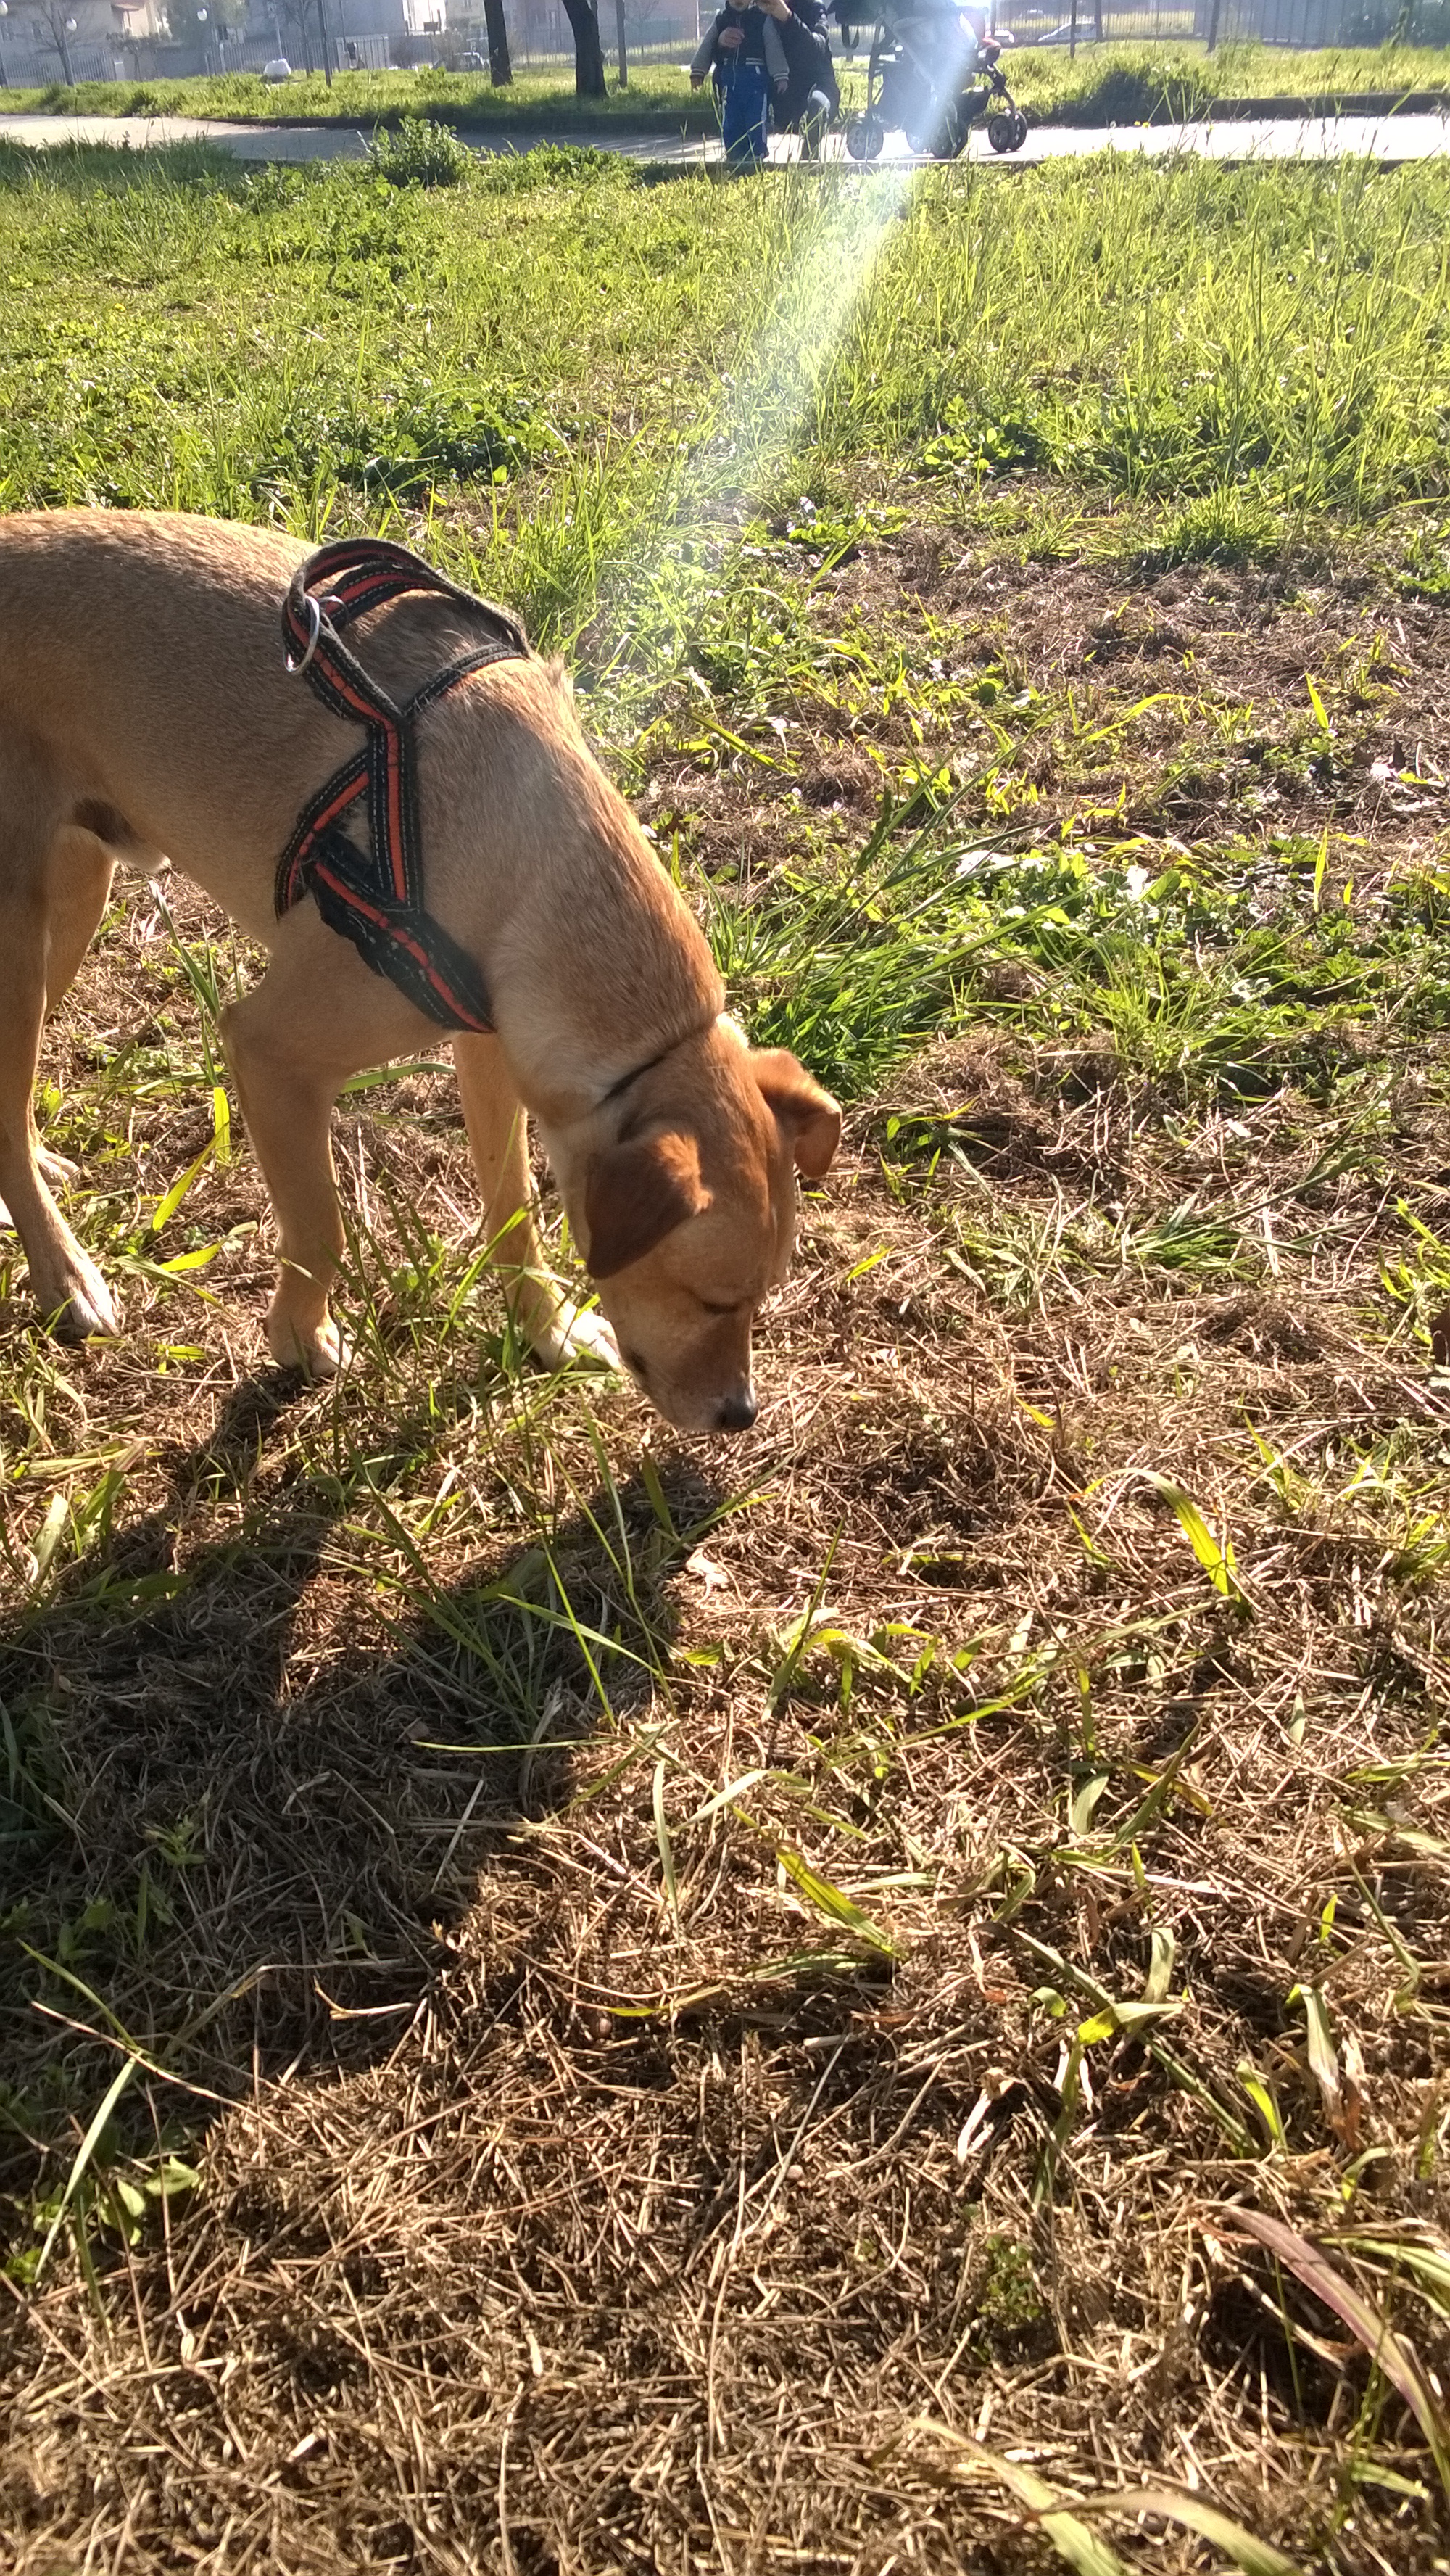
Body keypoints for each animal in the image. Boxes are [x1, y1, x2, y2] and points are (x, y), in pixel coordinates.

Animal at [0, 510, 840, 1434]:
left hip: (75, 901)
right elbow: (321, 1229)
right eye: (711, 1299)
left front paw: (544, 1331)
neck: (532, 864)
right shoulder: (269, 1052)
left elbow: (514, 1211)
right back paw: (65, 1276)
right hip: (19, 937)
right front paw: (300, 1338)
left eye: (760, 1296)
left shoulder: (491, 1050)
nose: (740, 1414)